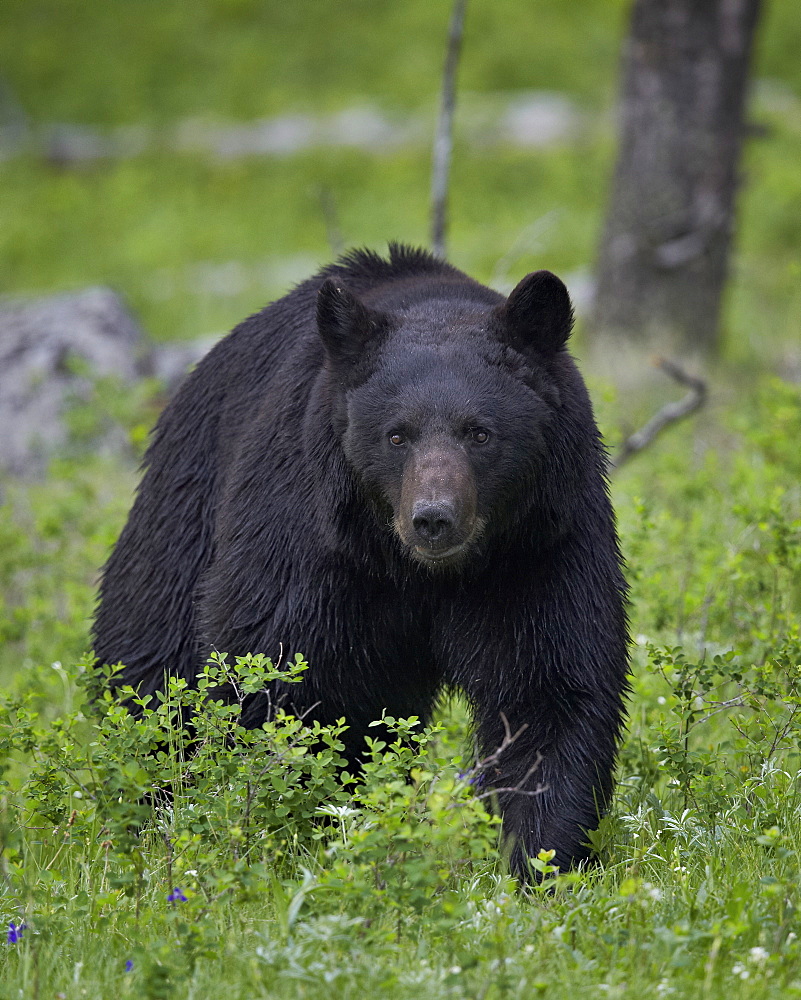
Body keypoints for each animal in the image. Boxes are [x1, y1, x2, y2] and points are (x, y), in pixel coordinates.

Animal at [94, 246, 628, 880]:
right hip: (184, 518)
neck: (419, 572)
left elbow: (550, 682)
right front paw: (277, 823)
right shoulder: (312, 542)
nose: (433, 518)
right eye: (397, 435)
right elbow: (275, 676)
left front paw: (542, 860)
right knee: (154, 673)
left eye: (480, 433)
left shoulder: (539, 544)